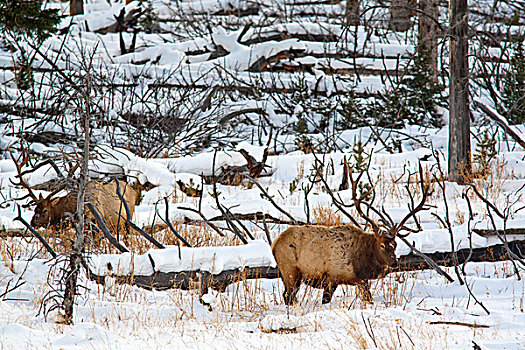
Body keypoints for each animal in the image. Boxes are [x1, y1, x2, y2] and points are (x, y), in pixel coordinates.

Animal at [270, 163, 430, 304]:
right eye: (382, 245)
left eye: (395, 244)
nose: (394, 263)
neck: (361, 264)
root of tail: (274, 244)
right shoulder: (332, 277)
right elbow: (325, 301)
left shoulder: (361, 281)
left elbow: (369, 299)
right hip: (290, 270)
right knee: (288, 296)